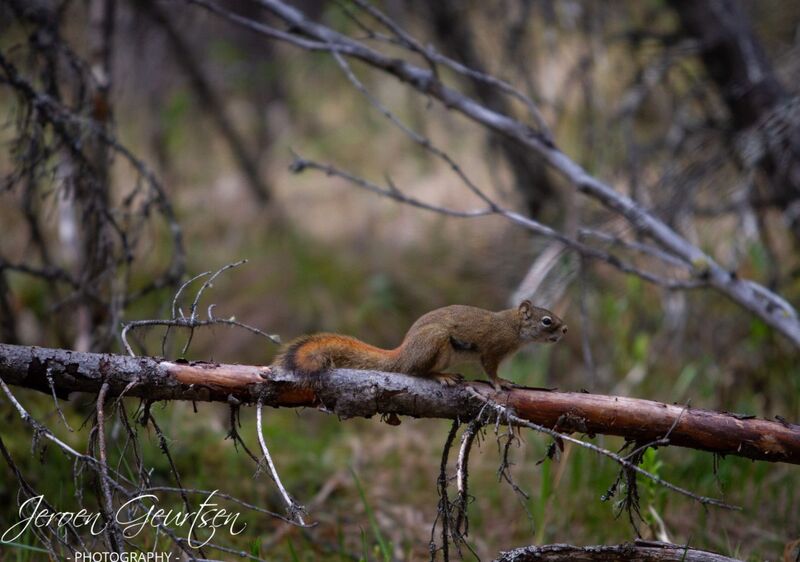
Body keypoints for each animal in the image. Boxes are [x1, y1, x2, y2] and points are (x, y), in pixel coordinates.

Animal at [274, 300, 567, 390]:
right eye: (546, 320)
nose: (565, 330)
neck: (513, 327)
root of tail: (403, 354)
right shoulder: (492, 349)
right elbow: (490, 369)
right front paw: (499, 383)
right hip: (435, 342)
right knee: (417, 371)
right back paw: (442, 376)